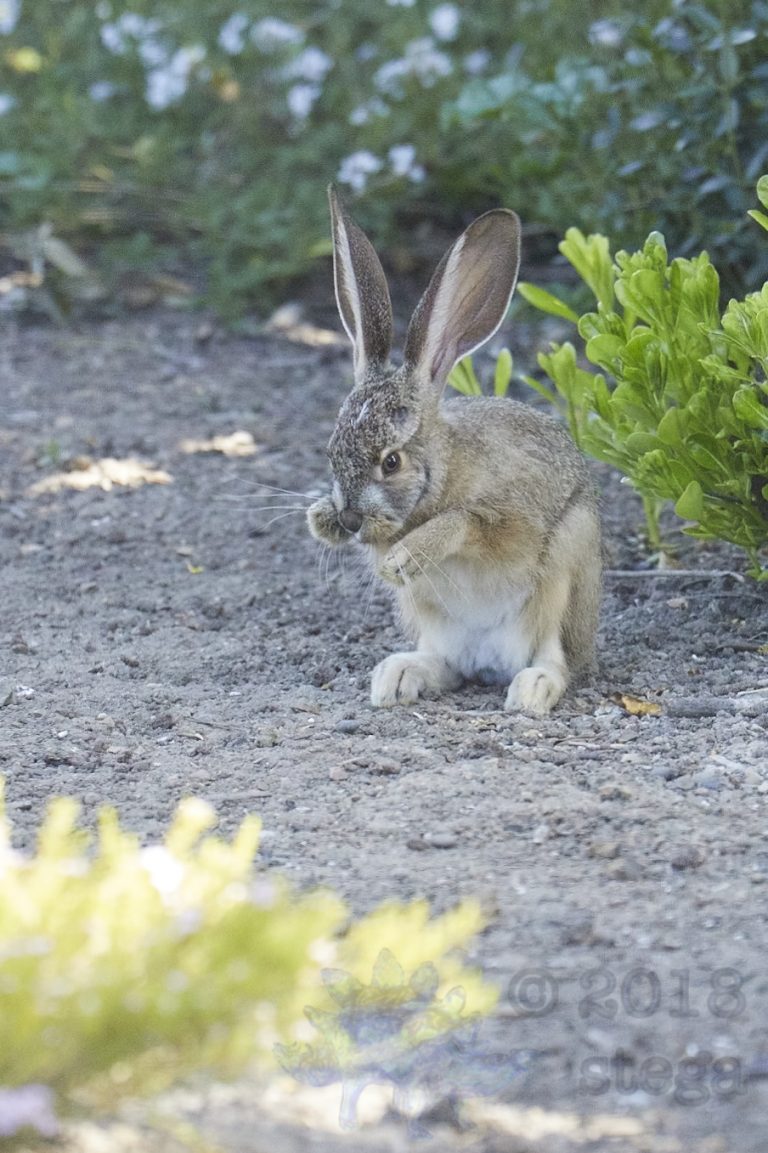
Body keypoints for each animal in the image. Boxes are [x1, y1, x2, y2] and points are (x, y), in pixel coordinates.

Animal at [307, 187, 601, 714]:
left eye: (392, 461)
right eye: (330, 450)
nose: (350, 521)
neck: (442, 473)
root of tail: (488, 664)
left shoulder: (515, 516)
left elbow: (470, 521)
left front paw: (406, 557)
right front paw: (320, 521)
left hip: (565, 569)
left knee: (553, 657)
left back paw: (531, 690)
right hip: (431, 622)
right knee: (445, 665)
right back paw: (397, 677)